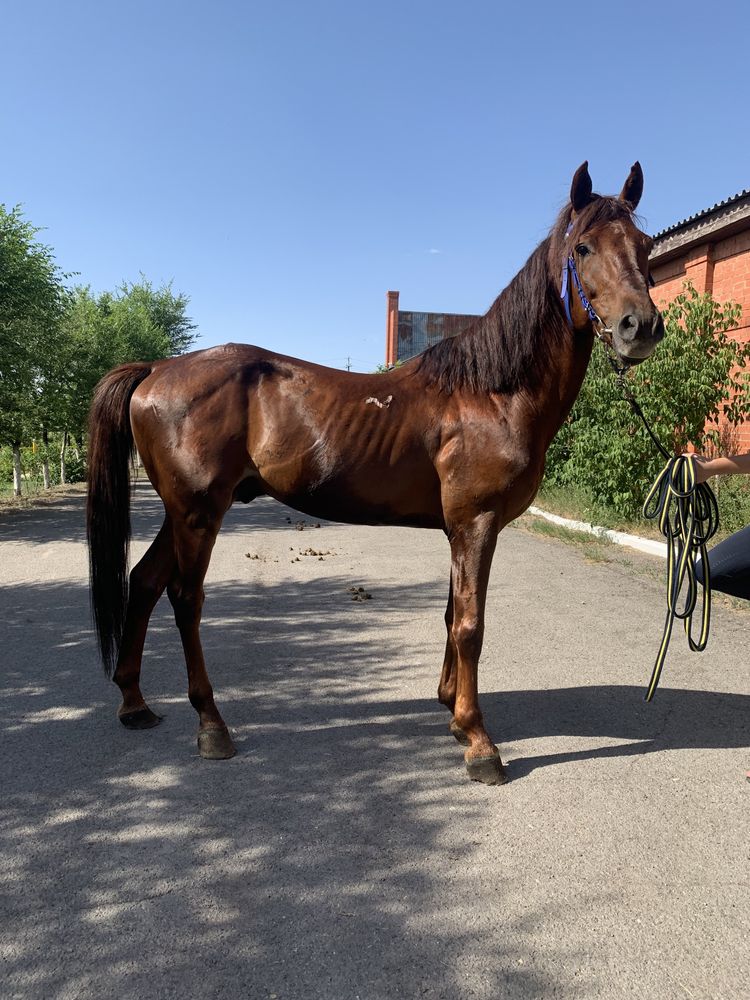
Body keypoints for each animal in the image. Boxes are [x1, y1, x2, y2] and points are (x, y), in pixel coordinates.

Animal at [86, 162, 664, 780]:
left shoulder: (458, 529)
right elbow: (471, 625)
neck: (490, 393)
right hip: (198, 512)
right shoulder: (476, 523)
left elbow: (451, 614)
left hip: (182, 512)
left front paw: (452, 711)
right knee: (185, 598)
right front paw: (479, 742)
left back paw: (135, 705)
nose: (641, 326)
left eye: (644, 244)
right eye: (582, 247)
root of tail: (156, 370)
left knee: (144, 581)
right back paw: (212, 726)